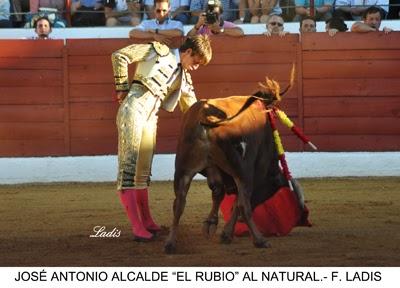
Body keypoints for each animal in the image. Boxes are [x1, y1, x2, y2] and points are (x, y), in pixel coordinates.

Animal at [164, 68, 304, 254]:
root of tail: (207, 118)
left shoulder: (214, 169)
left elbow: (218, 192)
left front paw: (211, 224)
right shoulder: (252, 170)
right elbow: (238, 202)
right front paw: (225, 234)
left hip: (183, 169)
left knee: (179, 203)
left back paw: (170, 243)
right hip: (240, 170)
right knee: (244, 205)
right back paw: (260, 240)